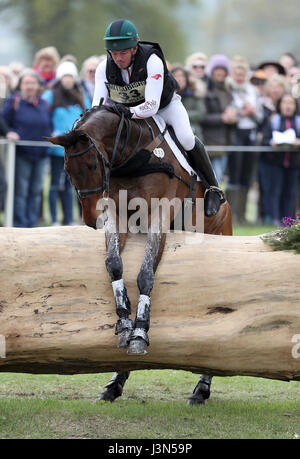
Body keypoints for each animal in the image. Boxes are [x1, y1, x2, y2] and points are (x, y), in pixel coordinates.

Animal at [48, 105, 233, 406]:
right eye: (66, 169)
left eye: (93, 166)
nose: (91, 220)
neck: (132, 155)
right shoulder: (118, 217)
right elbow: (114, 264)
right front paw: (125, 324)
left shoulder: (159, 217)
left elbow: (145, 275)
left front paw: (139, 332)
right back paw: (114, 384)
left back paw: (202, 389)